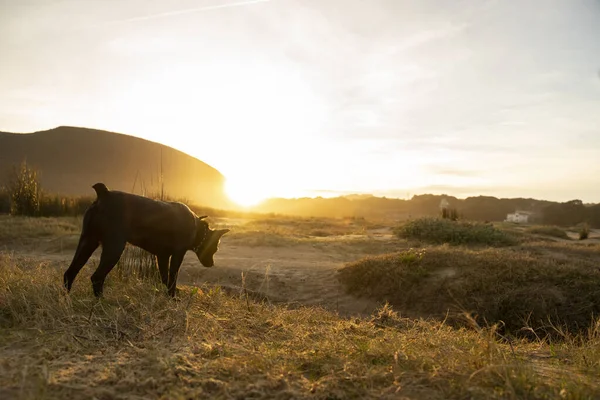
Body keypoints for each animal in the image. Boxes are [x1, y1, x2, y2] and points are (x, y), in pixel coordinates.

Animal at [62, 184, 227, 296]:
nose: (212, 264)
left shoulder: (162, 256)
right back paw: (101, 304)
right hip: (114, 248)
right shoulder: (177, 254)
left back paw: (66, 301)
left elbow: (165, 278)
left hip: (87, 242)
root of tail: (104, 194)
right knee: (97, 277)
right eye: (215, 248)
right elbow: (172, 278)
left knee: (70, 273)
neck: (198, 228)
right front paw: (173, 296)